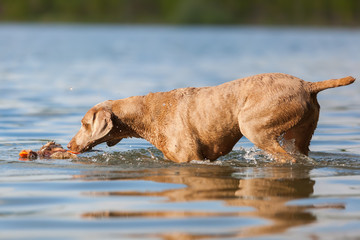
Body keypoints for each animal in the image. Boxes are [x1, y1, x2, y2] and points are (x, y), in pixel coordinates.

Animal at [67, 73, 354, 163]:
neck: (147, 115)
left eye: (83, 124)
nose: (68, 145)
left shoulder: (190, 158)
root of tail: (308, 85)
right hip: (299, 135)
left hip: (253, 126)